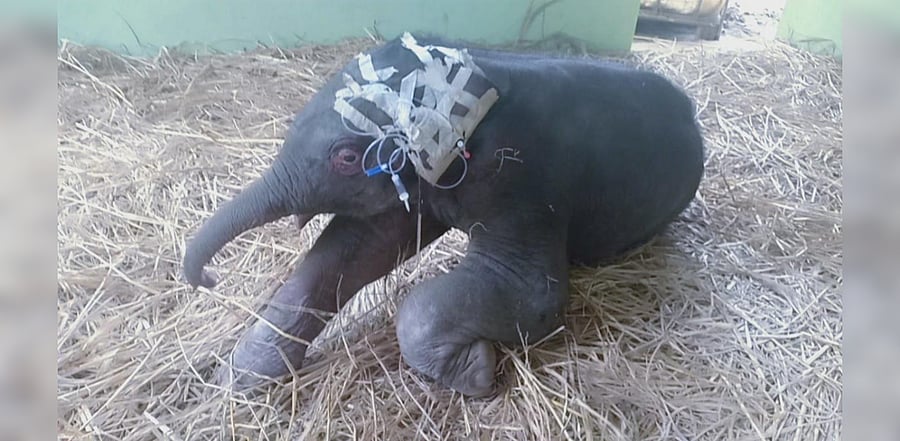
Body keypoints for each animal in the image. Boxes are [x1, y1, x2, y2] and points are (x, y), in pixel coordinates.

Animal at [182, 33, 704, 397]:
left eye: (346, 158)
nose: (207, 278)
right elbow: (357, 250)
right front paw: (237, 382)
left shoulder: (520, 179)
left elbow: (533, 293)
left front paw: (475, 374)